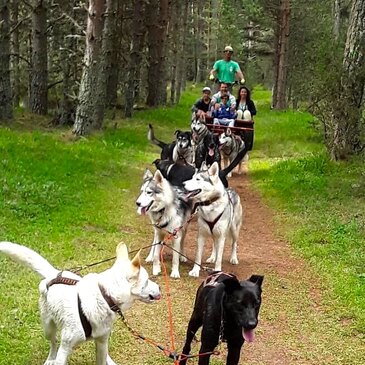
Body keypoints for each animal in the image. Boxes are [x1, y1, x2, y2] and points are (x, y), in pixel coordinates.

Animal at [0, 242, 159, 364]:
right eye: (146, 281)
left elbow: (102, 358)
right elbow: (59, 351)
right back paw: (50, 359)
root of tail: (54, 273)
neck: (104, 296)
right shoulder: (65, 348)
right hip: (48, 328)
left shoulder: (101, 342)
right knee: (53, 343)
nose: (159, 288)